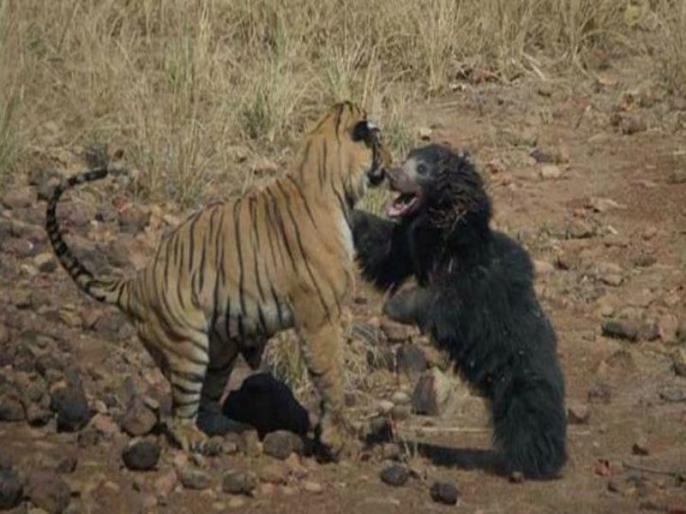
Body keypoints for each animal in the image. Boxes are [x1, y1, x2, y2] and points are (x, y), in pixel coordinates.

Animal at [45, 102, 392, 454]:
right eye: (379, 142)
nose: (392, 161)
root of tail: (135, 284)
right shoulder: (320, 319)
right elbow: (332, 375)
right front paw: (336, 440)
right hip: (188, 346)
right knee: (180, 417)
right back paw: (200, 442)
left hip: (220, 352)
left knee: (208, 406)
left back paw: (231, 430)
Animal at [352, 143, 568, 476]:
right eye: (407, 160)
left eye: (422, 168)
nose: (390, 174)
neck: (441, 232)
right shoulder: (410, 247)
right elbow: (384, 251)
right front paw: (344, 214)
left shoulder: (471, 283)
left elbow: (444, 304)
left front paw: (395, 304)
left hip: (519, 369)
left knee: (530, 412)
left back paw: (534, 461)